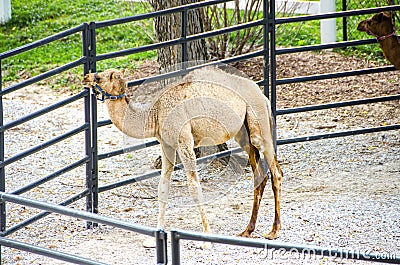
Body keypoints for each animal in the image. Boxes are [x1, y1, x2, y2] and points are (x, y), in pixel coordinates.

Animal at [81, 66, 282, 243]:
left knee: (276, 172)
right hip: (243, 132)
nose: (85, 78)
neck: (155, 112)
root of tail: (263, 96)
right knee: (259, 174)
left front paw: (207, 237)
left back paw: (274, 231)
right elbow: (163, 186)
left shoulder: (184, 141)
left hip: (259, 123)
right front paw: (157, 234)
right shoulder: (166, 145)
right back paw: (247, 230)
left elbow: (194, 186)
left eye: (99, 77)